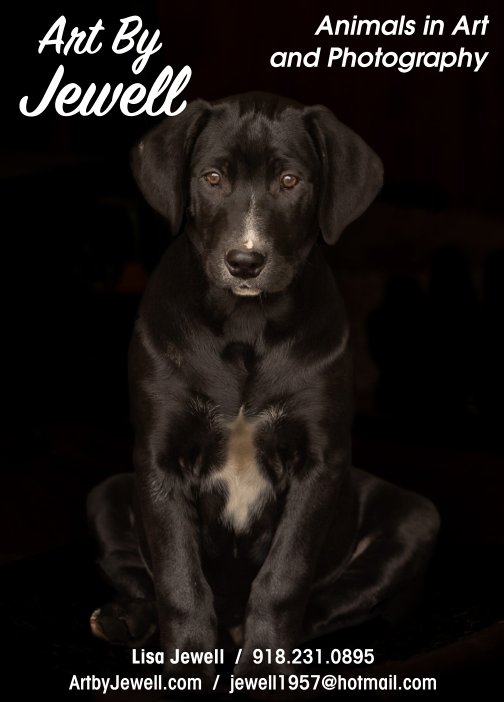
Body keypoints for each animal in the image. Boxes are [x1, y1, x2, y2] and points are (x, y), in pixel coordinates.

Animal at [87, 92, 440, 682]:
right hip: (108, 493)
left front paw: (265, 664)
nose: (245, 261)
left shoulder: (321, 462)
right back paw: (125, 619)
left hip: (416, 516)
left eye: (290, 181)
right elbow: (178, 578)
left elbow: (283, 578)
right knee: (142, 573)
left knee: (334, 598)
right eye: (212, 178)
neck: (245, 326)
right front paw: (188, 664)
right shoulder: (158, 459)